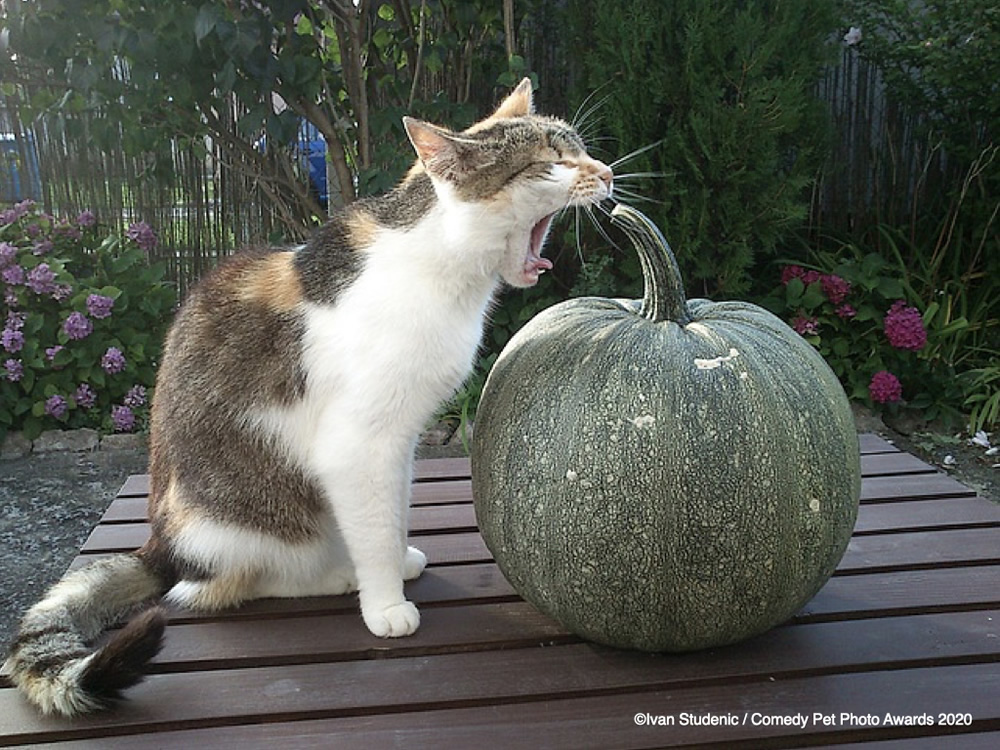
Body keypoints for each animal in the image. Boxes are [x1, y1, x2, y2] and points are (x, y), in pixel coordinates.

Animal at [1, 79, 616, 720]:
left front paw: (397, 561)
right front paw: (383, 601)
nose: (608, 172)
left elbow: (391, 514)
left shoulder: (400, 440)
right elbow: (372, 525)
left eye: (580, 148)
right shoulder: (358, 445)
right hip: (247, 527)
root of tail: (158, 547)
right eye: (551, 162)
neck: (442, 266)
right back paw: (332, 577)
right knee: (213, 588)